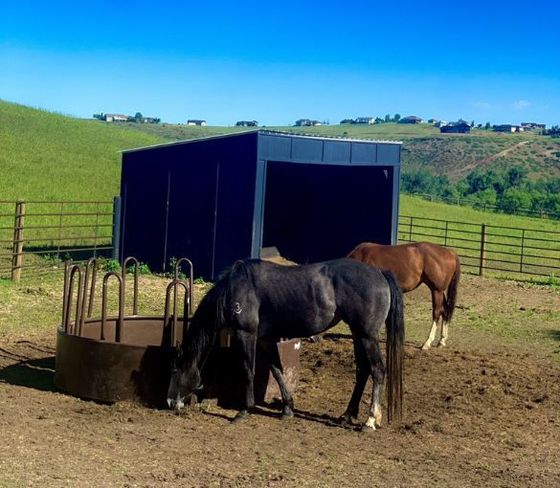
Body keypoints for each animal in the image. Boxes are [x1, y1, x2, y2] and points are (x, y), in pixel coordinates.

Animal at [165, 258, 402, 428]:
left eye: (175, 369)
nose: (170, 402)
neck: (235, 290)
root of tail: (380, 273)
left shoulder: (246, 334)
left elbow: (248, 370)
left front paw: (244, 410)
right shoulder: (265, 340)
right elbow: (277, 370)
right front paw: (287, 409)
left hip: (367, 336)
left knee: (378, 370)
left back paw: (370, 420)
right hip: (357, 334)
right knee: (363, 371)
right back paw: (346, 415)